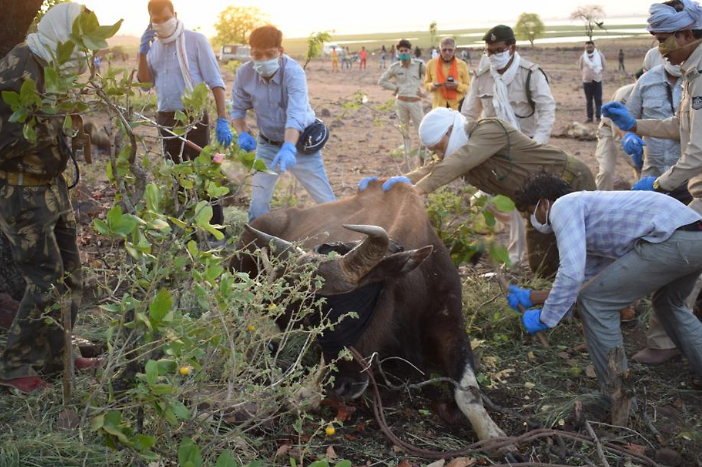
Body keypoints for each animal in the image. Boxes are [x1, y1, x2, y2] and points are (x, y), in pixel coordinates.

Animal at [231, 179, 506, 442]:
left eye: (359, 311)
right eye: (314, 316)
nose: (340, 386)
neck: (416, 285)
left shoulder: (452, 327)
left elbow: (469, 392)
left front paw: (494, 436)